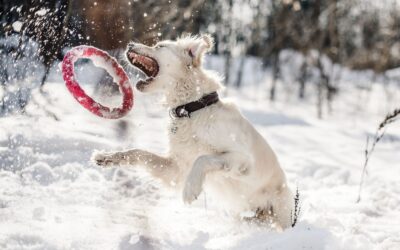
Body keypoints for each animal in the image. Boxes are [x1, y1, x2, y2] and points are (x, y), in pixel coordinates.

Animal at [93, 34, 294, 229]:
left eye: (160, 46)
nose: (130, 44)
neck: (192, 109)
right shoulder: (177, 168)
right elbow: (138, 152)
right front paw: (107, 157)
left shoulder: (243, 159)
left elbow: (203, 158)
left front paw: (190, 189)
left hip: (282, 211)